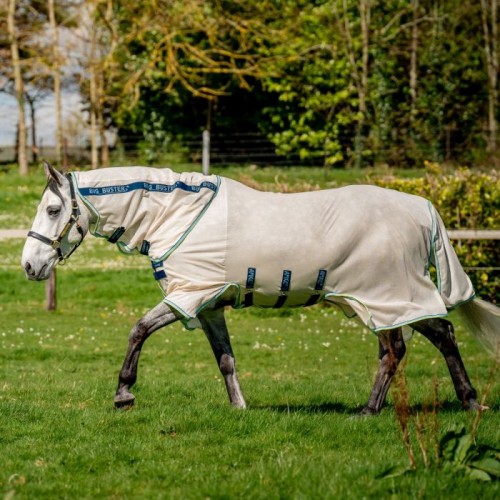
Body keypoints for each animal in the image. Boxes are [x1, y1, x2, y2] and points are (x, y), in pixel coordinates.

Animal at [21, 162, 498, 412]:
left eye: (52, 209)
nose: (29, 265)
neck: (176, 215)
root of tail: (421, 207)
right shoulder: (209, 306)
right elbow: (226, 360)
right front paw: (240, 407)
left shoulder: (187, 296)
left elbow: (138, 330)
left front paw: (123, 394)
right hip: (385, 301)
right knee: (429, 338)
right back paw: (460, 402)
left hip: (384, 297)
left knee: (405, 346)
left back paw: (376, 410)